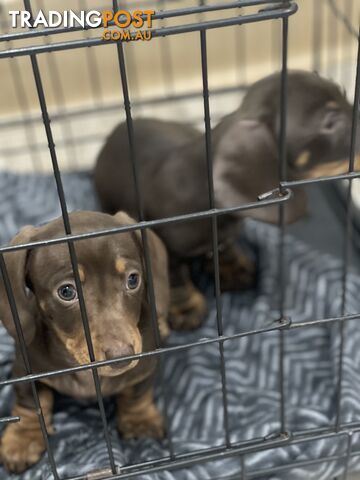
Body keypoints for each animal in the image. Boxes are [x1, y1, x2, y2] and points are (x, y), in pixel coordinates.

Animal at [0, 211, 170, 472]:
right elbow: (30, 403)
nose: (122, 356)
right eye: (66, 292)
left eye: (133, 279)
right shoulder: (24, 368)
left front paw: (139, 420)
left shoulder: (145, 364)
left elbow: (137, 392)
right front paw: (23, 438)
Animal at [94, 70, 358, 330]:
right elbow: (176, 280)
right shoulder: (165, 249)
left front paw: (234, 268)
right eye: (330, 122)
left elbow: (226, 247)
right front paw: (186, 308)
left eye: (344, 94)